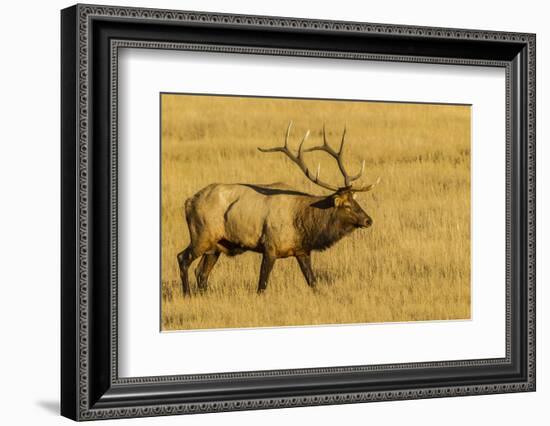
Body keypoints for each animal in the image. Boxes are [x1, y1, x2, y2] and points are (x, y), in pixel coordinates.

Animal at [177, 120, 380, 294]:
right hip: (201, 235)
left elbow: (313, 282)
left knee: (201, 273)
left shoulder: (302, 251)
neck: (304, 224)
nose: (368, 220)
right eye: (347, 205)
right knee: (183, 258)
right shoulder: (269, 247)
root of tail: (188, 202)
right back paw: (187, 294)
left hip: (217, 245)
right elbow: (262, 286)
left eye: (356, 201)